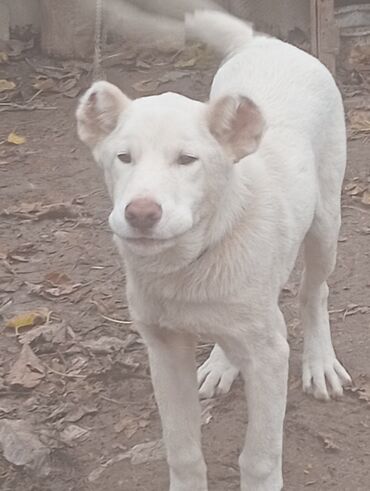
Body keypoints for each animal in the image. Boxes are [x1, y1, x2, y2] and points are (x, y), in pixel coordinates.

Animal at [76, 11, 352, 491]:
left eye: (187, 160)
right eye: (123, 158)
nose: (141, 213)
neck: (190, 262)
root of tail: (265, 42)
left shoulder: (269, 355)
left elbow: (259, 458)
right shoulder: (164, 350)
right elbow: (182, 450)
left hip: (325, 223)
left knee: (315, 291)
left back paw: (320, 362)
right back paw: (223, 362)